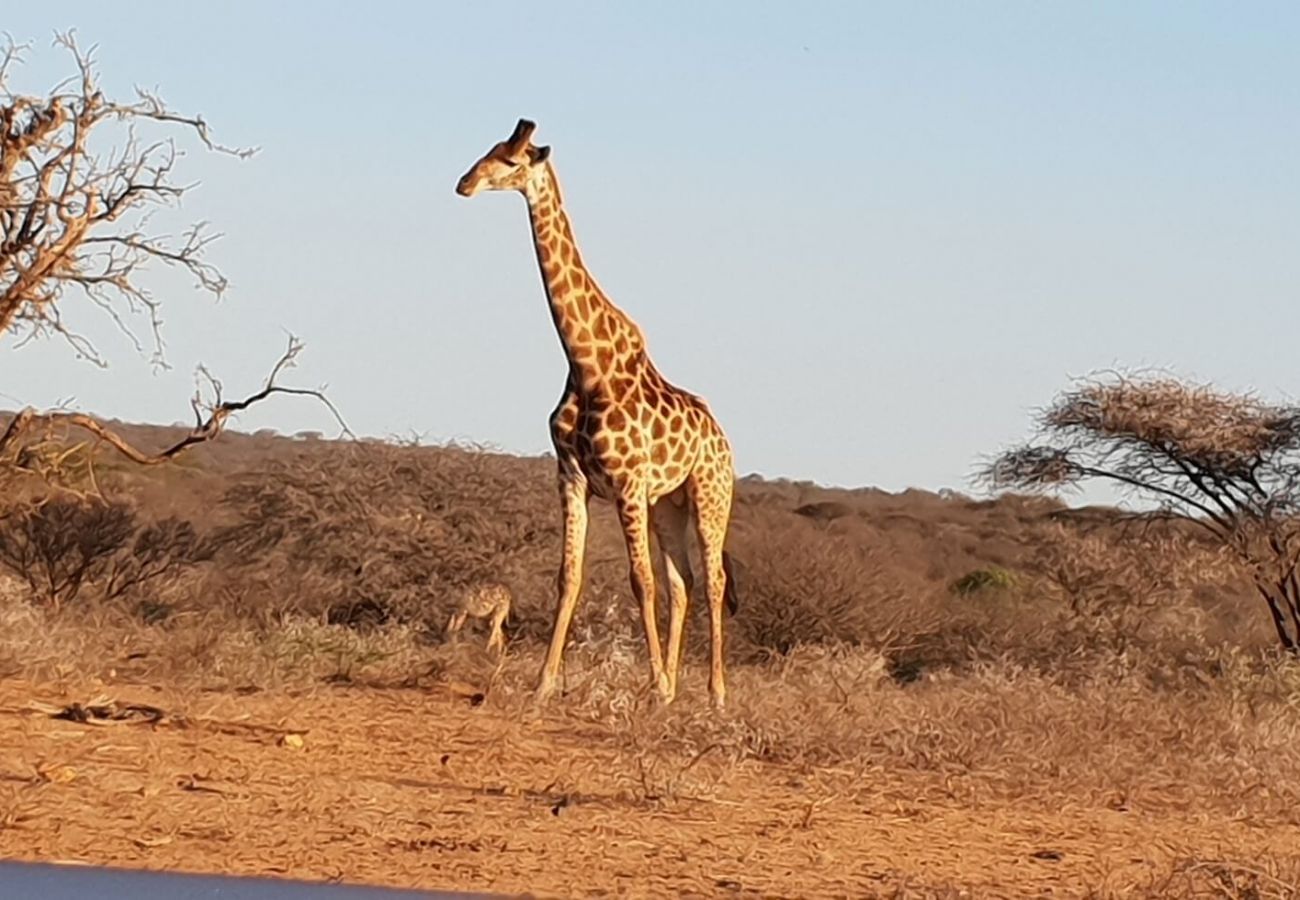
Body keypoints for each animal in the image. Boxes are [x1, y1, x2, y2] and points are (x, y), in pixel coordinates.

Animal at [457, 121, 743, 712]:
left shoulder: (627, 483)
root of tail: (723, 437)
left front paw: (655, 684)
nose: (464, 184)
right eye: (489, 151)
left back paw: (714, 693)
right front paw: (544, 684)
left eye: (512, 162)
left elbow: (639, 581)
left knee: (712, 579)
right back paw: (675, 691)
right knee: (683, 581)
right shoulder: (571, 477)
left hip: (709, 494)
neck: (585, 364)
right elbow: (569, 577)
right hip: (667, 505)